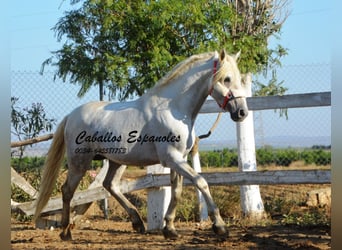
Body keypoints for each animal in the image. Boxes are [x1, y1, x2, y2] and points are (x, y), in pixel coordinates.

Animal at [34, 49, 248, 240]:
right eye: (227, 79)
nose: (242, 112)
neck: (173, 109)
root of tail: (71, 115)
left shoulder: (178, 159)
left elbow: (177, 191)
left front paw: (170, 229)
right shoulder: (172, 159)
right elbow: (201, 182)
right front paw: (220, 226)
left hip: (116, 161)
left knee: (110, 185)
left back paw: (137, 222)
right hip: (79, 161)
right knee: (67, 190)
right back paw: (65, 232)